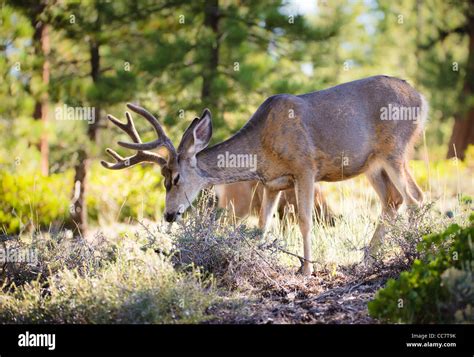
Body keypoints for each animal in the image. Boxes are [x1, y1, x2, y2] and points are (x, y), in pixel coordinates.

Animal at [103, 75, 426, 276]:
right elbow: (262, 225)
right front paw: (257, 260)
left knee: (415, 197)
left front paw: (306, 269)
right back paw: (367, 258)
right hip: (373, 165)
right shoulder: (271, 183)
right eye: (163, 179)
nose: (170, 215)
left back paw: (414, 250)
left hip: (396, 149)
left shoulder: (305, 167)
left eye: (176, 178)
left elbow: (304, 220)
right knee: (393, 201)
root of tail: (422, 98)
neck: (261, 149)